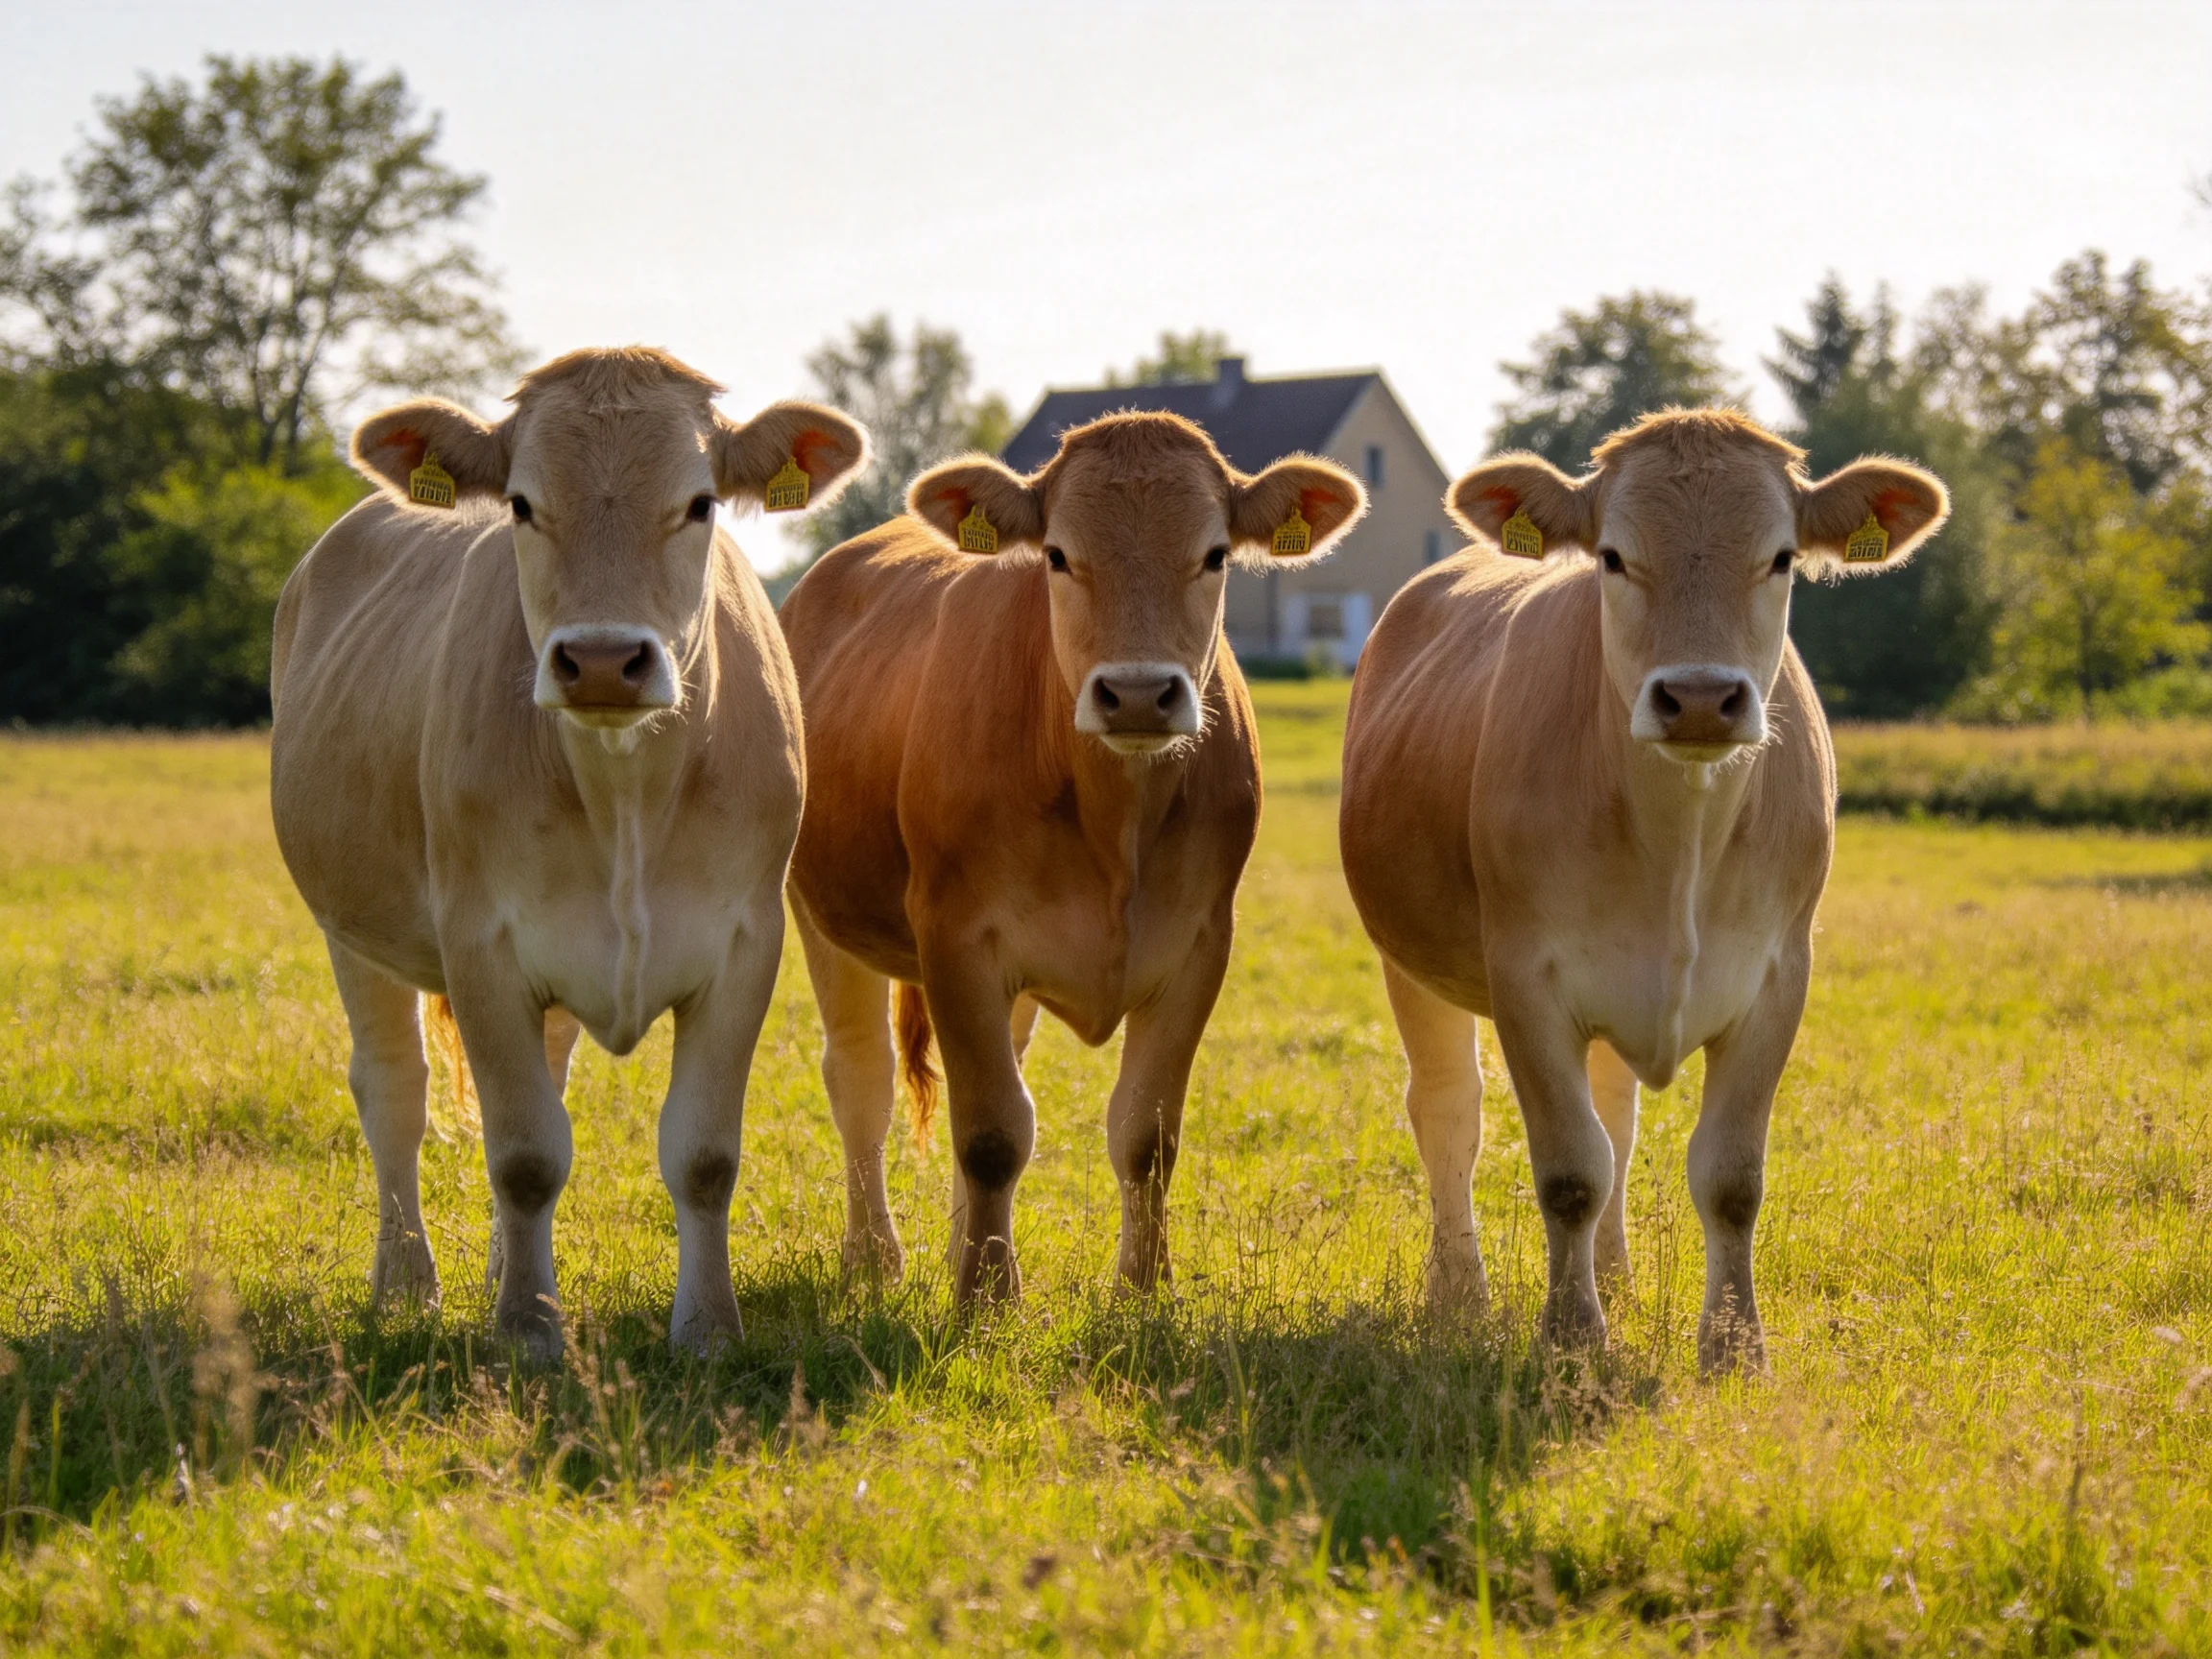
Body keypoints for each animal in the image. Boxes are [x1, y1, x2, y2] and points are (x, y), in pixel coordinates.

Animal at [269, 346, 866, 1358]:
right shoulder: (480, 943)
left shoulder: (746, 944)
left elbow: (703, 1155)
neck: (624, 791)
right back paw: (409, 1283)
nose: (600, 660)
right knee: (394, 1091)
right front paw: (527, 1330)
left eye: (700, 503)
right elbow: (521, 1154)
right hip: (350, 927)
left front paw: (707, 1329)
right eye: (521, 503)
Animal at [779, 412, 1365, 1305]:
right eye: (1057, 554)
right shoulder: (955, 938)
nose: (1137, 693)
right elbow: (990, 1132)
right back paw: (875, 1258)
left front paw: (1141, 1291)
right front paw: (987, 1300)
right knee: (861, 1080)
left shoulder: (1200, 944)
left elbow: (1144, 1135)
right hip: (821, 914)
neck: (1114, 820)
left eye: (1215, 554)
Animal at [1339, 407, 1947, 1371]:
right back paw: (1460, 1297)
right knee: (1448, 1113)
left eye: (1781, 557)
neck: (1679, 841)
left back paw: (1617, 1284)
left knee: (1615, 1121)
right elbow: (1568, 1173)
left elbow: (1728, 1176)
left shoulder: (1779, 977)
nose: (1698, 698)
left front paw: (1733, 1349)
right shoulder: (1525, 980)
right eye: (1614, 557)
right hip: (1409, 959)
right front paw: (1573, 1340)